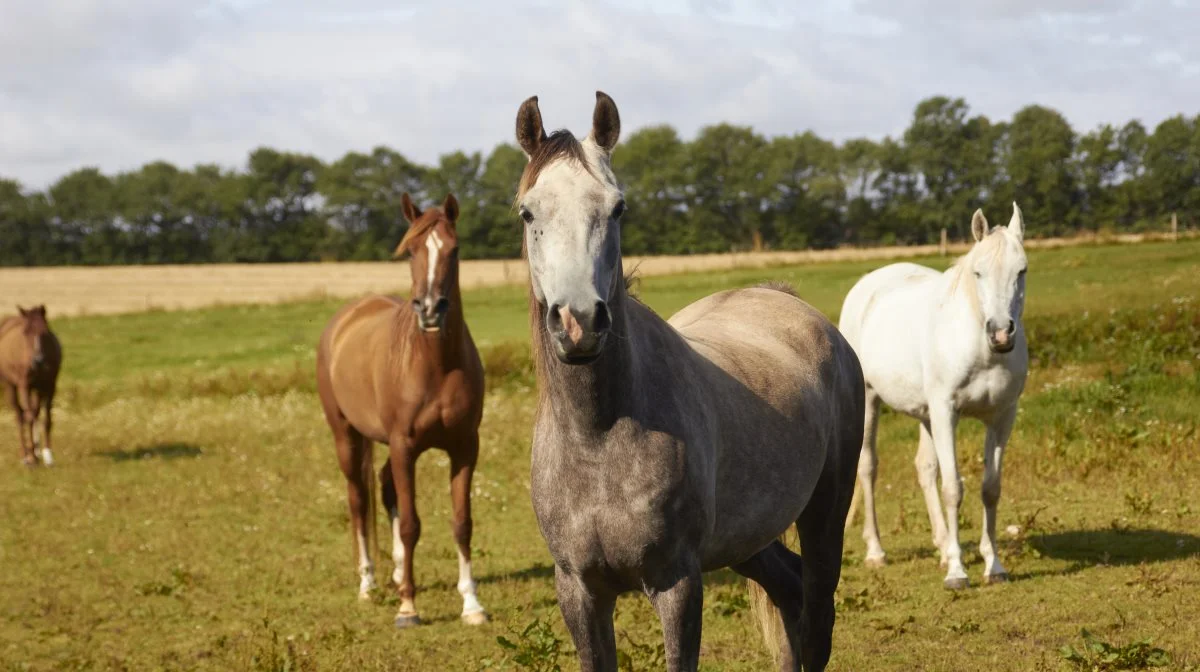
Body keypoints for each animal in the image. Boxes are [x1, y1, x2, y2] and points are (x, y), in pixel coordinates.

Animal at [1, 306, 62, 468]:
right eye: (25, 332)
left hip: (37, 389)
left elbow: (47, 419)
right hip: (11, 386)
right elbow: (28, 417)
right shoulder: (25, 386)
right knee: (20, 415)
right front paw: (31, 459)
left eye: (45, 331)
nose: (37, 360)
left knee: (34, 412)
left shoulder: (50, 385)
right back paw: (26, 455)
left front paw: (48, 456)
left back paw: (36, 451)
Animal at [319, 192, 492, 628]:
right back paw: (369, 584)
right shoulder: (404, 446)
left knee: (383, 486)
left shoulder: (465, 448)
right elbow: (412, 523)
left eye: (454, 249)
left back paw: (397, 572)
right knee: (358, 501)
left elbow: (462, 523)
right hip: (346, 437)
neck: (435, 365)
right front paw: (408, 608)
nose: (430, 309)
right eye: (411, 251)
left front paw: (472, 604)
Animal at [840, 205, 1027, 588]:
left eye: (1022, 270)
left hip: (925, 415)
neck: (982, 351)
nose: (1001, 333)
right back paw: (876, 552)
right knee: (868, 467)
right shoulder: (946, 412)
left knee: (925, 469)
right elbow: (953, 488)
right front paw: (957, 572)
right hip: (870, 402)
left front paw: (994, 566)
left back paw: (941, 545)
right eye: (978, 272)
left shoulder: (1002, 416)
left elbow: (990, 488)